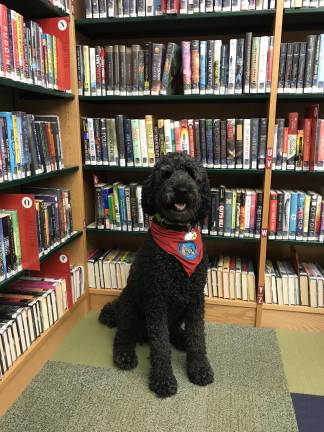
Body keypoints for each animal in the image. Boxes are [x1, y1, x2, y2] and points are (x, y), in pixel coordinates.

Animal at [100, 153, 214, 398]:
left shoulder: (195, 298)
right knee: (124, 334)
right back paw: (125, 355)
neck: (178, 235)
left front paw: (199, 369)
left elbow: (197, 336)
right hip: (130, 306)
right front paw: (163, 380)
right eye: (166, 174)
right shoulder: (156, 301)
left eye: (191, 174)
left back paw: (181, 338)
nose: (182, 189)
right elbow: (160, 344)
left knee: (173, 331)